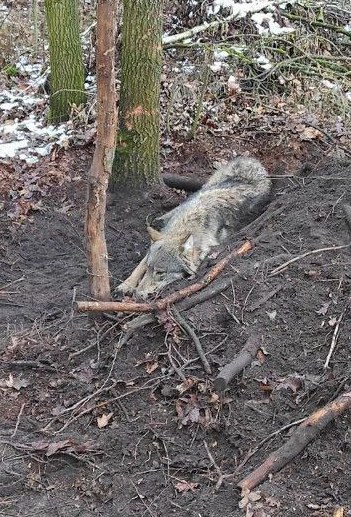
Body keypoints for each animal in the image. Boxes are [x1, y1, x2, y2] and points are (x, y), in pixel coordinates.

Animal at [118, 154, 272, 298]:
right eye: (149, 269)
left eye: (160, 273)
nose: (137, 294)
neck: (184, 226)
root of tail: (251, 159)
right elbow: (139, 266)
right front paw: (126, 285)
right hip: (209, 184)